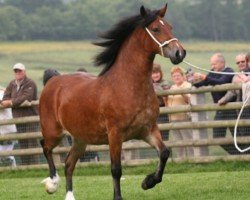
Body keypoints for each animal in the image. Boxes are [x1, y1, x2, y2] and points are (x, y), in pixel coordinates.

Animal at [40, 3, 186, 200]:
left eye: (170, 26)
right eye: (156, 28)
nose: (180, 53)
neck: (127, 86)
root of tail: (53, 81)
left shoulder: (147, 129)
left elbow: (164, 153)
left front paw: (148, 182)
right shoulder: (115, 134)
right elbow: (116, 169)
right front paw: (119, 196)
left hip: (80, 138)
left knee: (69, 163)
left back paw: (69, 195)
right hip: (54, 132)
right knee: (45, 147)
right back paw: (52, 183)